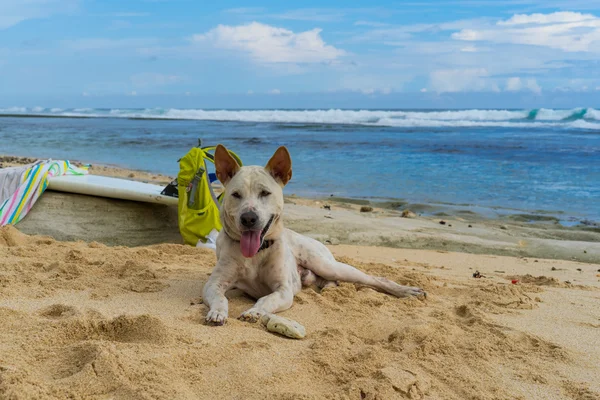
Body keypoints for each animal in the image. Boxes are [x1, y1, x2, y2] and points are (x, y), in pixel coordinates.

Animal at [200, 145, 422, 324]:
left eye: (265, 193)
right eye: (235, 195)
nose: (248, 218)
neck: (256, 254)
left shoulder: (283, 290)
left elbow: (267, 299)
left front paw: (255, 311)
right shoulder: (213, 284)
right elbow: (220, 298)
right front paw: (217, 313)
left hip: (328, 265)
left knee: (375, 278)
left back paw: (407, 290)